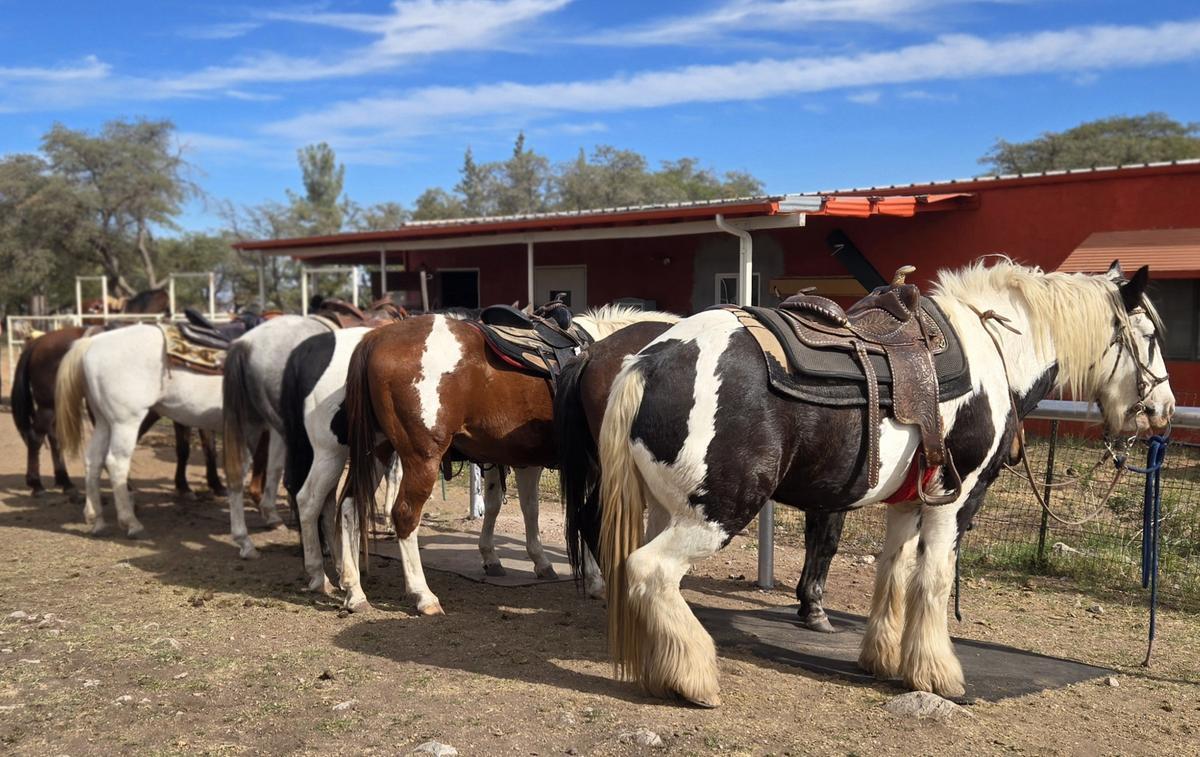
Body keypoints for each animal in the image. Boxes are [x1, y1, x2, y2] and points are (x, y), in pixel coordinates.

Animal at [54, 313, 263, 538]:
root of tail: (92, 342)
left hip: (104, 422)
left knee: (93, 460)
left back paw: (97, 520)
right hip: (125, 422)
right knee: (117, 463)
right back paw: (131, 523)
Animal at [221, 298, 406, 559]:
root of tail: (245, 344)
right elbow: (395, 474)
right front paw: (389, 521)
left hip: (255, 424)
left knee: (240, 473)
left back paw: (247, 541)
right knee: (297, 484)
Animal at [342, 305, 680, 615]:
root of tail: (375, 338)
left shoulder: (523, 458)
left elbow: (518, 507)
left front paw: (526, 560)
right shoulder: (591, 464)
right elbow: (587, 515)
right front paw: (596, 580)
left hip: (377, 451)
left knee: (348, 506)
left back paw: (354, 590)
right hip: (421, 458)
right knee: (404, 515)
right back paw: (422, 595)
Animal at [597, 260, 1174, 707]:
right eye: (1148, 338)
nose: (1164, 411)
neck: (995, 351)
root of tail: (650, 361)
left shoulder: (906, 503)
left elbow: (893, 573)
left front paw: (882, 657)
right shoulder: (955, 500)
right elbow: (935, 578)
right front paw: (936, 674)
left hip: (667, 509)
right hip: (717, 512)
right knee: (650, 571)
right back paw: (694, 680)